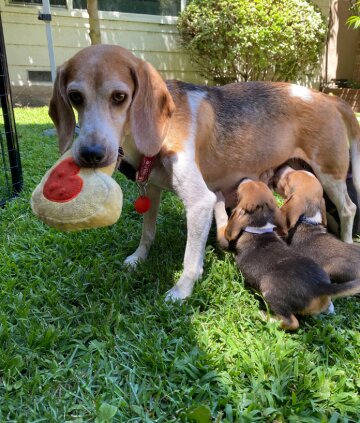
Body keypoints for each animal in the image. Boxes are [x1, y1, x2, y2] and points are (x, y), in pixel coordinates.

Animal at [47, 44, 360, 302]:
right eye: (75, 97)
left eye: (119, 97)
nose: (90, 154)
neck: (158, 132)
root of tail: (330, 99)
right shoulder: (154, 191)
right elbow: (147, 233)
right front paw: (138, 258)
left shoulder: (200, 203)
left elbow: (190, 259)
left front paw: (181, 291)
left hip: (330, 174)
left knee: (348, 208)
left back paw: (346, 242)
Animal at [212, 179, 360, 332]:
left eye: (242, 190)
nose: (244, 179)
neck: (260, 226)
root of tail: (320, 286)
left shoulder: (225, 239)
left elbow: (222, 220)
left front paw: (218, 199)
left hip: (269, 288)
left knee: (291, 322)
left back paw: (263, 316)